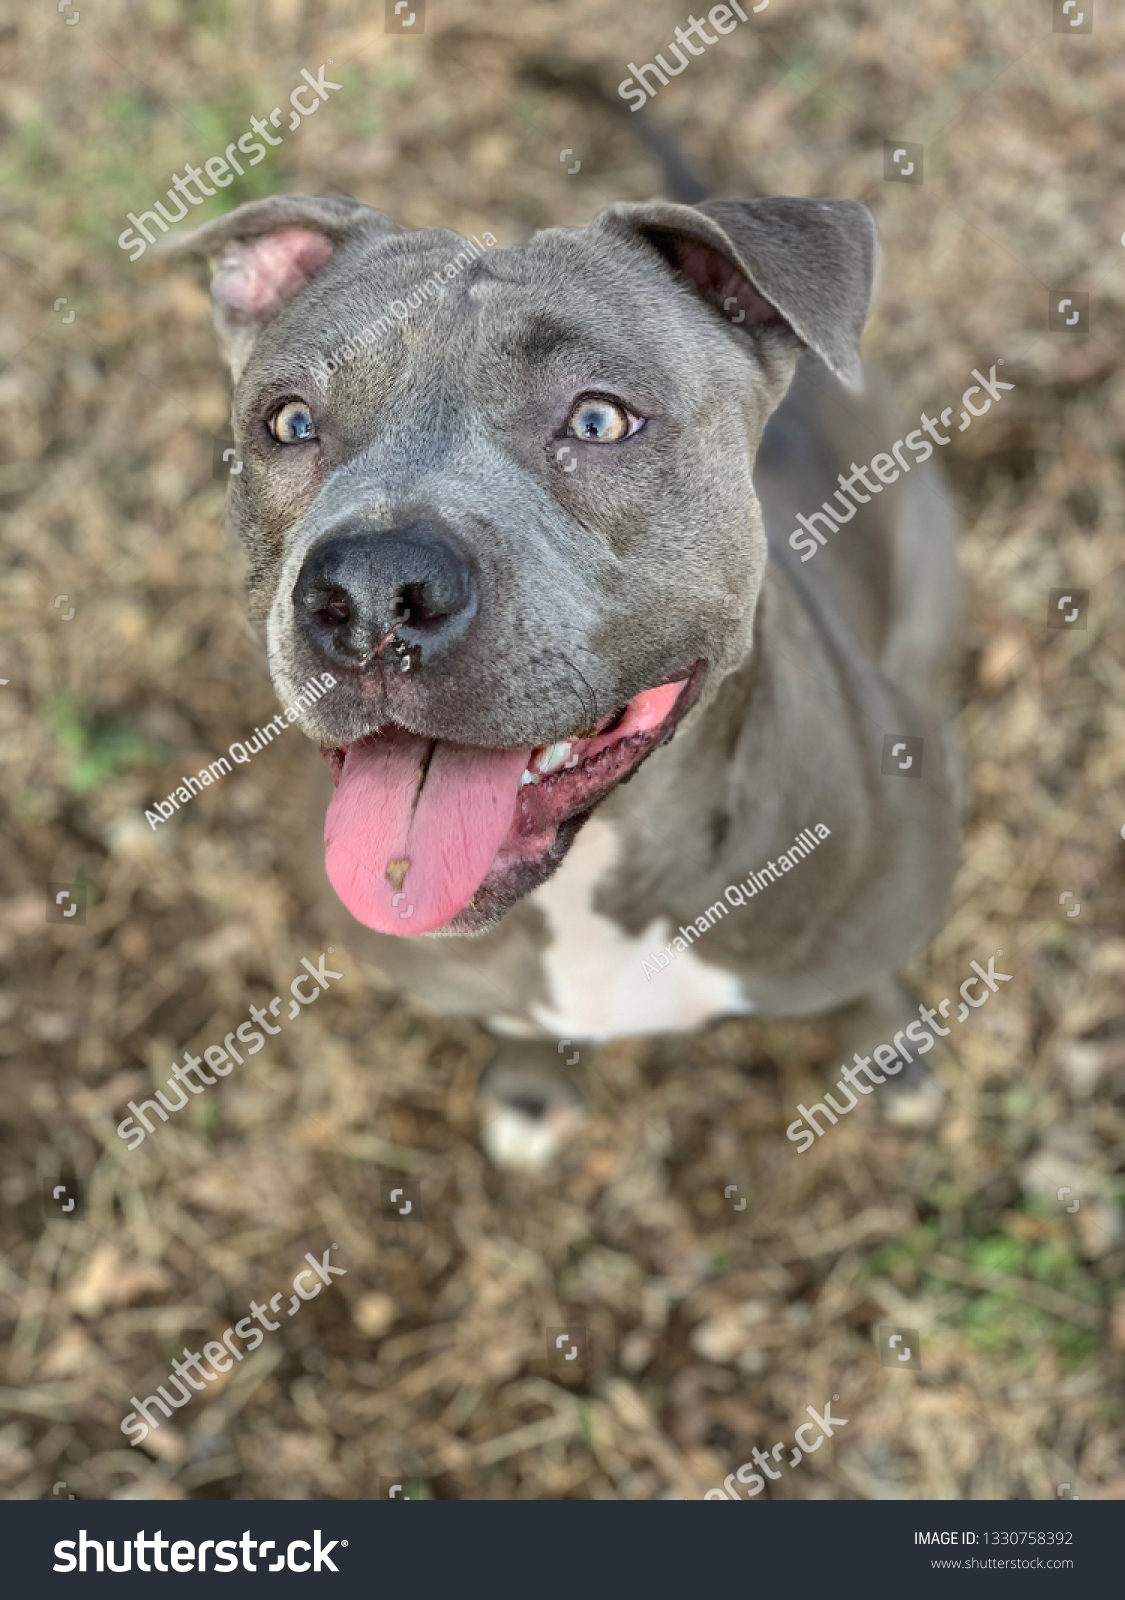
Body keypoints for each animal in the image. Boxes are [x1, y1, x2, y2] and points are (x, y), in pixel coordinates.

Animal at [167, 184, 960, 1164]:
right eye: (289, 422)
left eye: (597, 421)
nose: (374, 588)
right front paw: (532, 1088)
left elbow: (860, 990)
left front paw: (886, 1052)